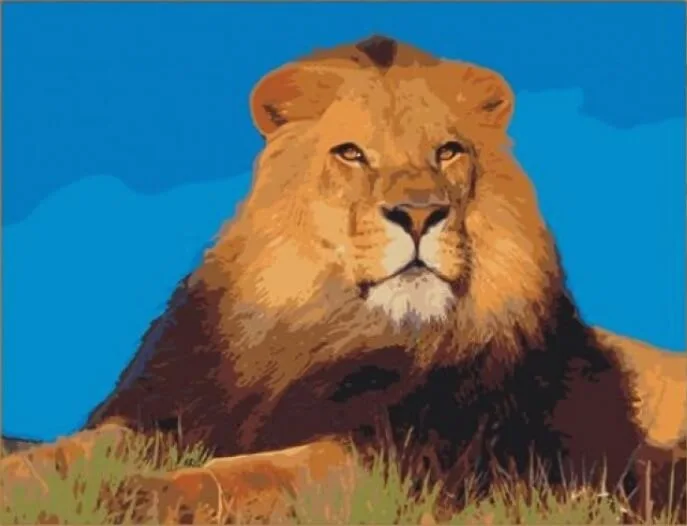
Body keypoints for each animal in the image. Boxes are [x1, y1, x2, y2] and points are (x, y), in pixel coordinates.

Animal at [2, 35, 685, 523]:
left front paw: (138, 495)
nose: (419, 214)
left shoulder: (422, 456)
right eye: (351, 153)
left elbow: (262, 474)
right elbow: (77, 448)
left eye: (449, 152)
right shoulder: (176, 410)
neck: (330, 331)